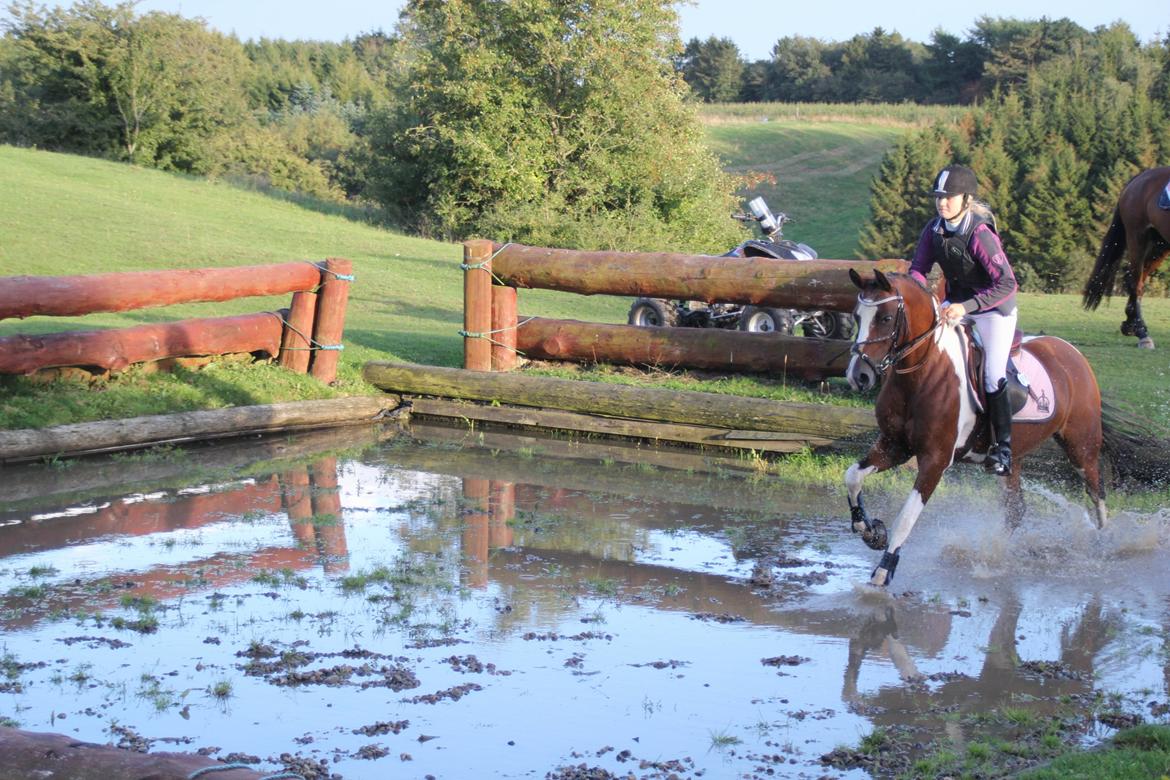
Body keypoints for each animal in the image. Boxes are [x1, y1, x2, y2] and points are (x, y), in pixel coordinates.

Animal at [842, 268, 1104, 584]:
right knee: (1015, 509)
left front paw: (884, 570)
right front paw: (869, 530)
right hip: (1014, 458)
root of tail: (1072, 353)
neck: (922, 373)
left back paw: (1101, 545)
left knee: (1097, 495)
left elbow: (906, 517)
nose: (858, 376)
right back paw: (992, 555)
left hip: (1081, 448)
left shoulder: (935, 460)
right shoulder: (895, 446)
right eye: (857, 317)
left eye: (885, 318)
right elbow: (852, 476)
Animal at [1081, 168, 1170, 350]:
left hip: (1160, 243)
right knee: (1136, 281)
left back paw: (1131, 325)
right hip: (1138, 236)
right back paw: (1141, 332)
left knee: (1136, 278)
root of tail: (1140, 177)